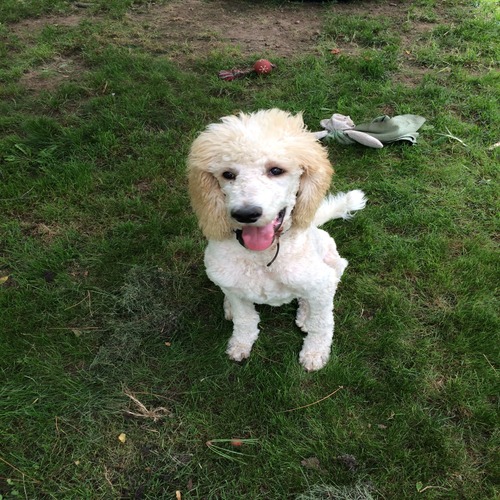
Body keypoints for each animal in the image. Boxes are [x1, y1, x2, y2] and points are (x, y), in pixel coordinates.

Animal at [187, 109, 366, 371]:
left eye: (276, 170)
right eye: (228, 174)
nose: (246, 214)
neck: (264, 256)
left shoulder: (319, 283)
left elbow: (322, 324)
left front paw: (314, 353)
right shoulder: (233, 286)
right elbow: (245, 320)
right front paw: (240, 345)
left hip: (330, 259)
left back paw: (306, 315)